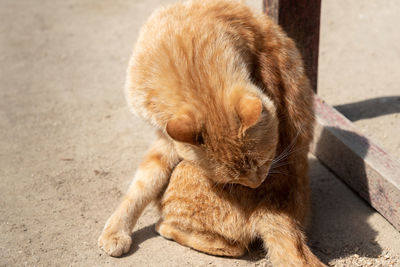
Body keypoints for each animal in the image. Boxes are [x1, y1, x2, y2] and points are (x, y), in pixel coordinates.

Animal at [97, 1, 324, 266]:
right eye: (231, 182)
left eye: (264, 163)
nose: (256, 184)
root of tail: (277, 209)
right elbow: (141, 186)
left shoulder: (165, 141)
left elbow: (142, 187)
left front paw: (116, 231)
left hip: (180, 179)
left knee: (233, 248)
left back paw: (164, 228)